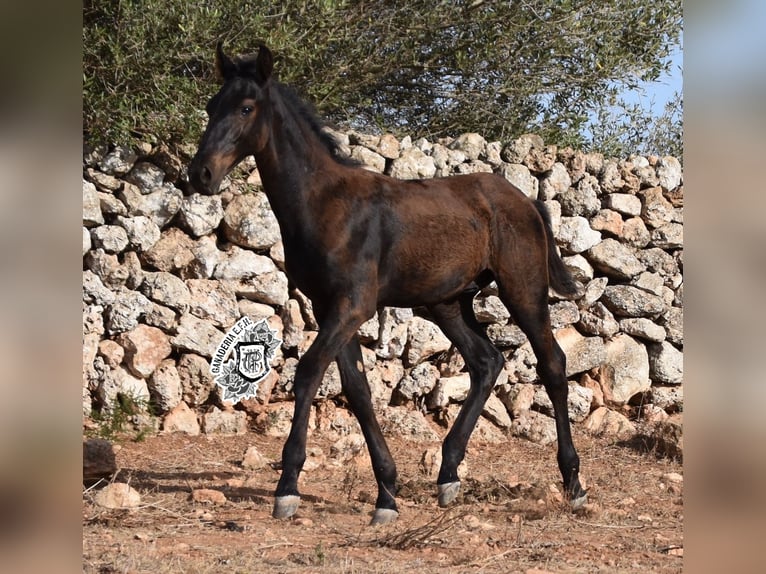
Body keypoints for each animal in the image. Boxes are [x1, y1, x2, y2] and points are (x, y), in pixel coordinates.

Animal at [189, 46, 592, 528]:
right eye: (211, 106)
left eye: (246, 108)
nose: (200, 174)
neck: (326, 203)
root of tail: (528, 201)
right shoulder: (329, 308)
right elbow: (358, 391)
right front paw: (386, 493)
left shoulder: (353, 306)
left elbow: (308, 373)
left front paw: (287, 489)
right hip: (448, 302)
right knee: (486, 362)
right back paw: (448, 476)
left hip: (523, 291)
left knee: (552, 364)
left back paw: (573, 483)